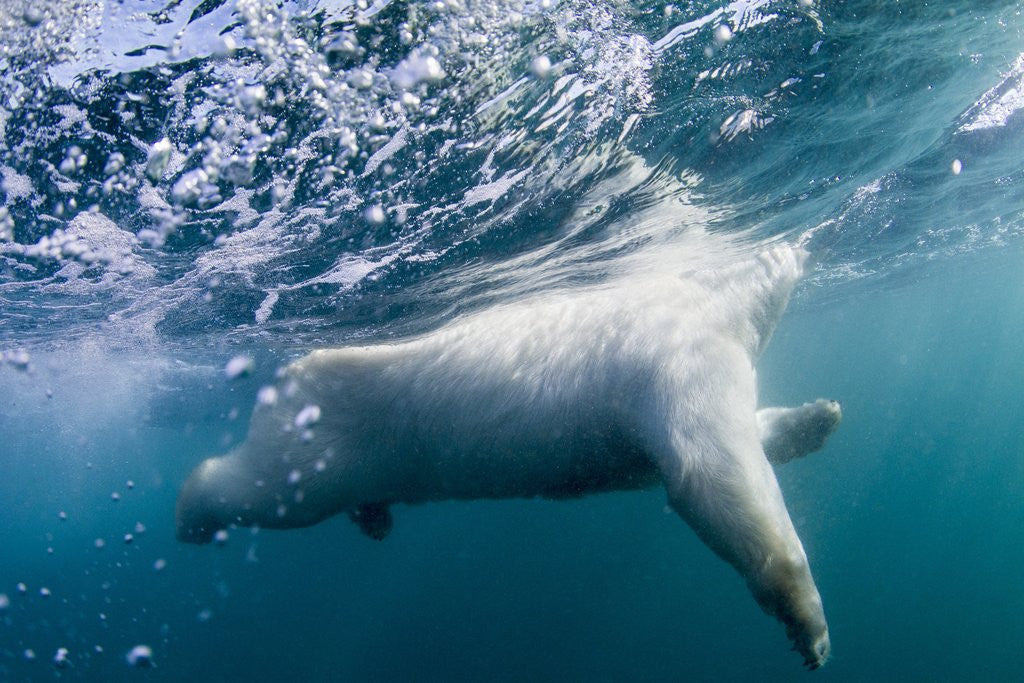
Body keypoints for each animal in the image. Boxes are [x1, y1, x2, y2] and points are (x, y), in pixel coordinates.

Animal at [176, 245, 838, 669]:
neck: (713, 292)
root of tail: (286, 379)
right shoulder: (685, 352)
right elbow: (711, 474)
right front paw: (809, 627)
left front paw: (818, 418)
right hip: (325, 439)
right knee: (261, 490)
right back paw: (190, 514)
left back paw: (374, 518)